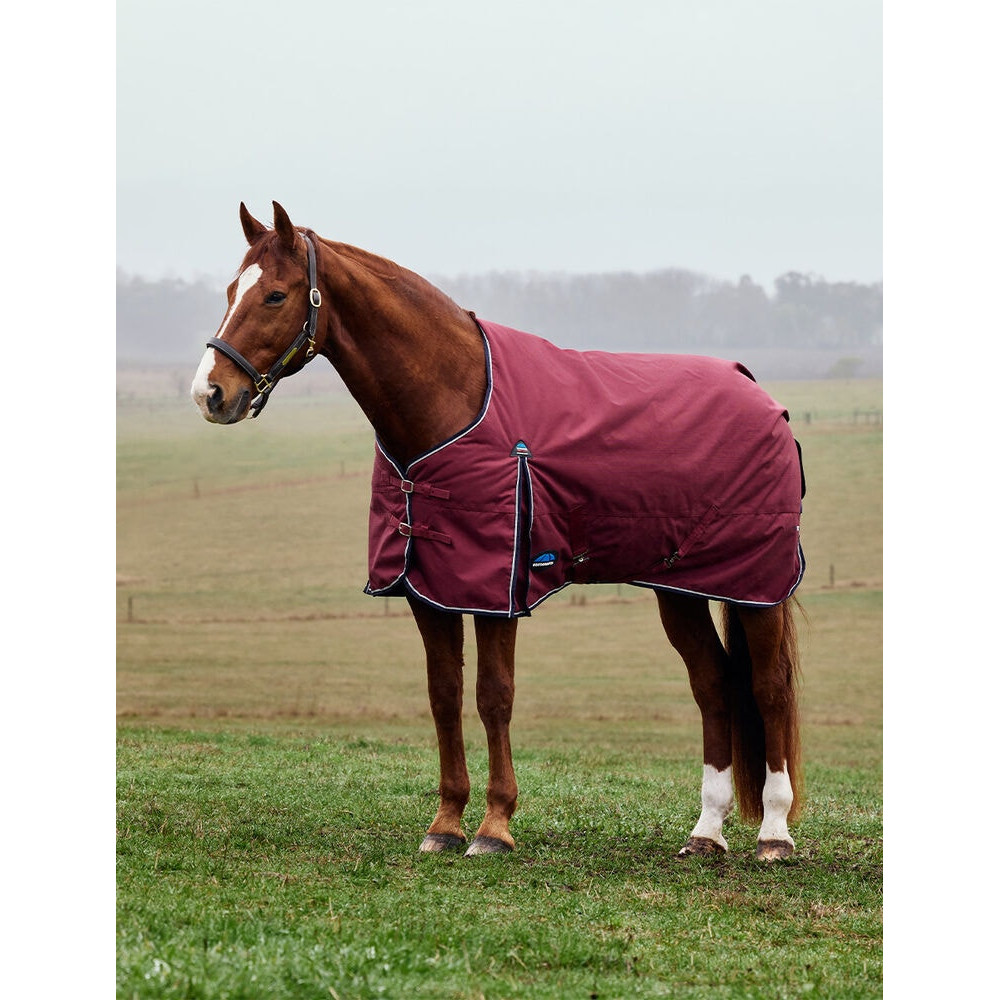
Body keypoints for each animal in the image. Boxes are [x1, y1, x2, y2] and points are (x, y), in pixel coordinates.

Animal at [191, 201, 805, 862]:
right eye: (230, 290)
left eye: (276, 295)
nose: (209, 393)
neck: (452, 401)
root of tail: (756, 391)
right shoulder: (429, 590)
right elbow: (444, 695)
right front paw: (445, 823)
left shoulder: (496, 592)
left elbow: (494, 696)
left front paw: (494, 826)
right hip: (681, 589)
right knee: (713, 685)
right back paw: (705, 833)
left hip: (757, 588)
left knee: (769, 688)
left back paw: (774, 833)